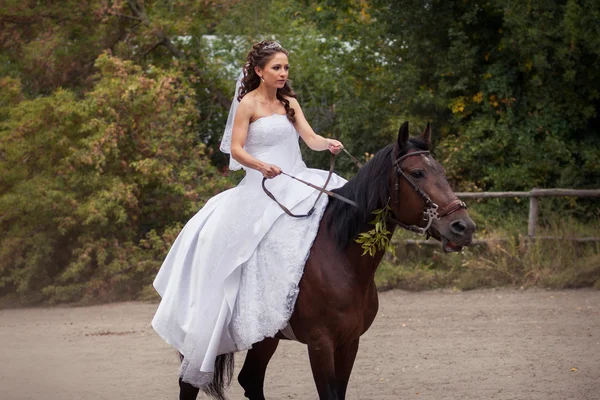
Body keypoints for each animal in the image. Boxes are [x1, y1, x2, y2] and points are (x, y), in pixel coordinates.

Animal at [180, 122, 476, 400]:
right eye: (417, 173)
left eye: (442, 172)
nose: (464, 227)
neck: (341, 259)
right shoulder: (320, 344)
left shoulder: (349, 342)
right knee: (188, 383)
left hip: (265, 337)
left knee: (250, 380)